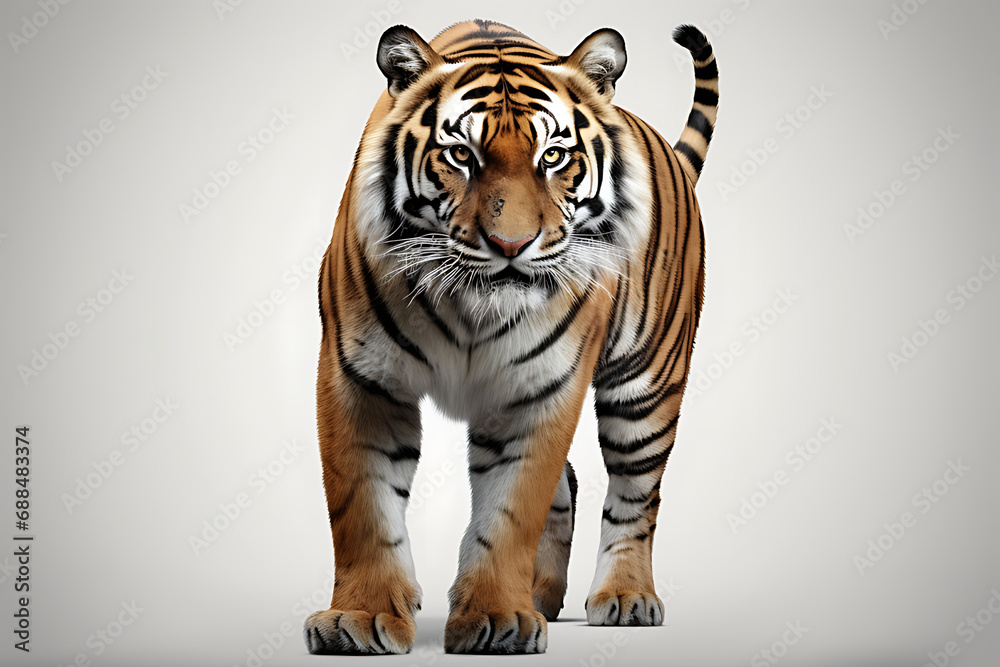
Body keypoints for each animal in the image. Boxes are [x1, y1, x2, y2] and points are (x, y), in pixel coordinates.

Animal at [304, 19, 718, 655]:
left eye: (554, 157)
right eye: (460, 155)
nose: (511, 244)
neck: (470, 309)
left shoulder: (543, 391)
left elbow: (511, 511)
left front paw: (495, 618)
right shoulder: (359, 379)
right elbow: (362, 509)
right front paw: (360, 618)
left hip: (647, 387)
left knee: (635, 495)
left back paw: (625, 597)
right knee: (569, 482)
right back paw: (543, 597)